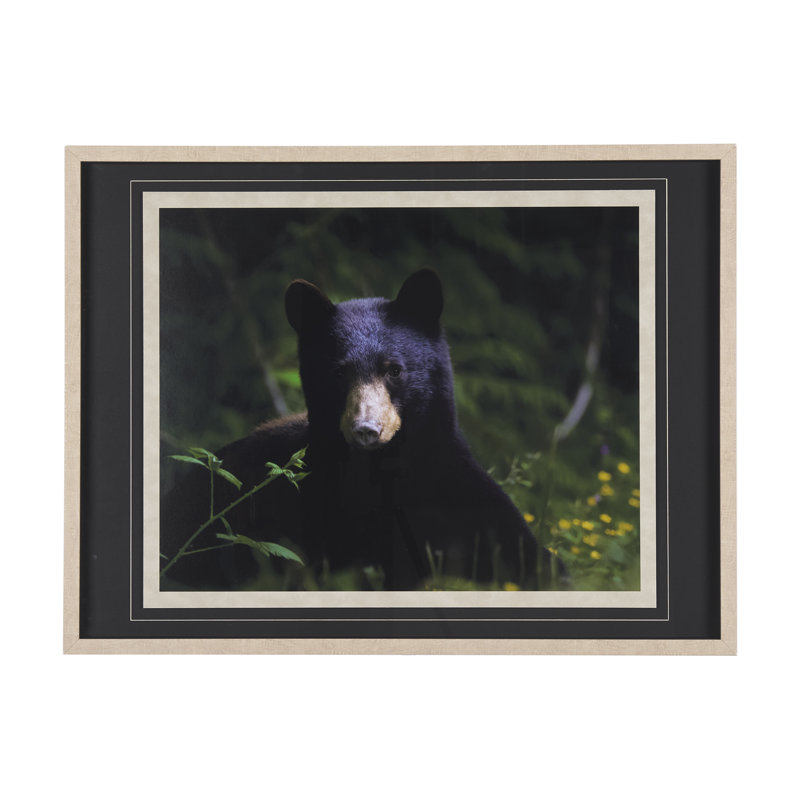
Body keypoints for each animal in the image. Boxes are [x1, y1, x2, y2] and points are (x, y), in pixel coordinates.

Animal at [160, 269, 543, 591]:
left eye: (394, 369)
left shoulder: (456, 492)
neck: (379, 473)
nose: (366, 429)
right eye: (338, 372)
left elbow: (518, 551)